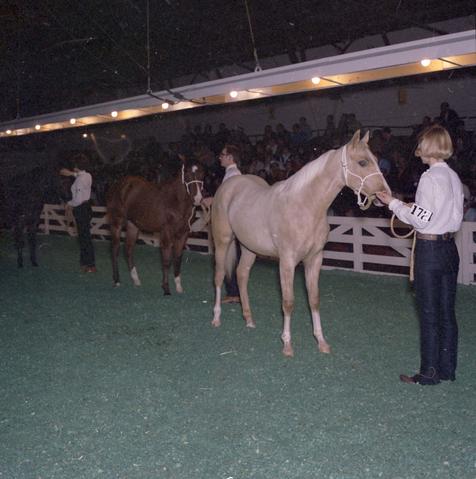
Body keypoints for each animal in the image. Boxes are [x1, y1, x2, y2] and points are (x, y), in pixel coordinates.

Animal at [108, 160, 205, 292]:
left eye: (202, 175)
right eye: (188, 175)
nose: (198, 198)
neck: (175, 201)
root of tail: (119, 185)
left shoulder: (183, 234)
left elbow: (178, 258)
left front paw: (179, 287)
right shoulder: (166, 232)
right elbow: (167, 260)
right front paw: (166, 288)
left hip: (133, 225)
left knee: (128, 250)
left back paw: (136, 280)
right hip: (116, 222)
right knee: (115, 249)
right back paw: (117, 280)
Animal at [212, 130, 390, 356]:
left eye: (375, 159)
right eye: (363, 162)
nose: (385, 195)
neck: (305, 206)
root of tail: (227, 187)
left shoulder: (314, 259)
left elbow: (313, 300)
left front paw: (321, 342)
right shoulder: (287, 262)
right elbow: (288, 302)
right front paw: (287, 345)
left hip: (248, 247)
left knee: (241, 275)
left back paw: (249, 319)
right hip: (222, 241)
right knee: (219, 277)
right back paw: (216, 318)